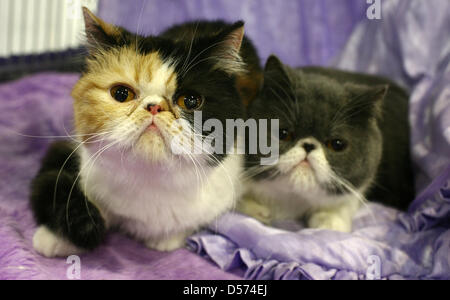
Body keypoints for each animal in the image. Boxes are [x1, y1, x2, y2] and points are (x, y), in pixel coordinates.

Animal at [29, 8, 262, 256]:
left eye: (190, 100)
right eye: (121, 93)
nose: (154, 106)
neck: (150, 180)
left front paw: (165, 240)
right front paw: (56, 238)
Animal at [239, 55, 414, 231]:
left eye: (336, 144)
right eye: (283, 134)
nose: (309, 145)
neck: (291, 200)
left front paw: (329, 221)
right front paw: (254, 209)